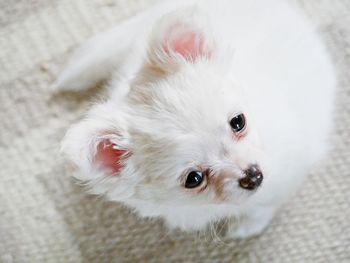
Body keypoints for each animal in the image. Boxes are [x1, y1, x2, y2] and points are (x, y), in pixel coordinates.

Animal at [53, 0, 334, 239]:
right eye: (194, 179)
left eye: (238, 122)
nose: (253, 176)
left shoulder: (292, 164)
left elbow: (268, 202)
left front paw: (248, 225)